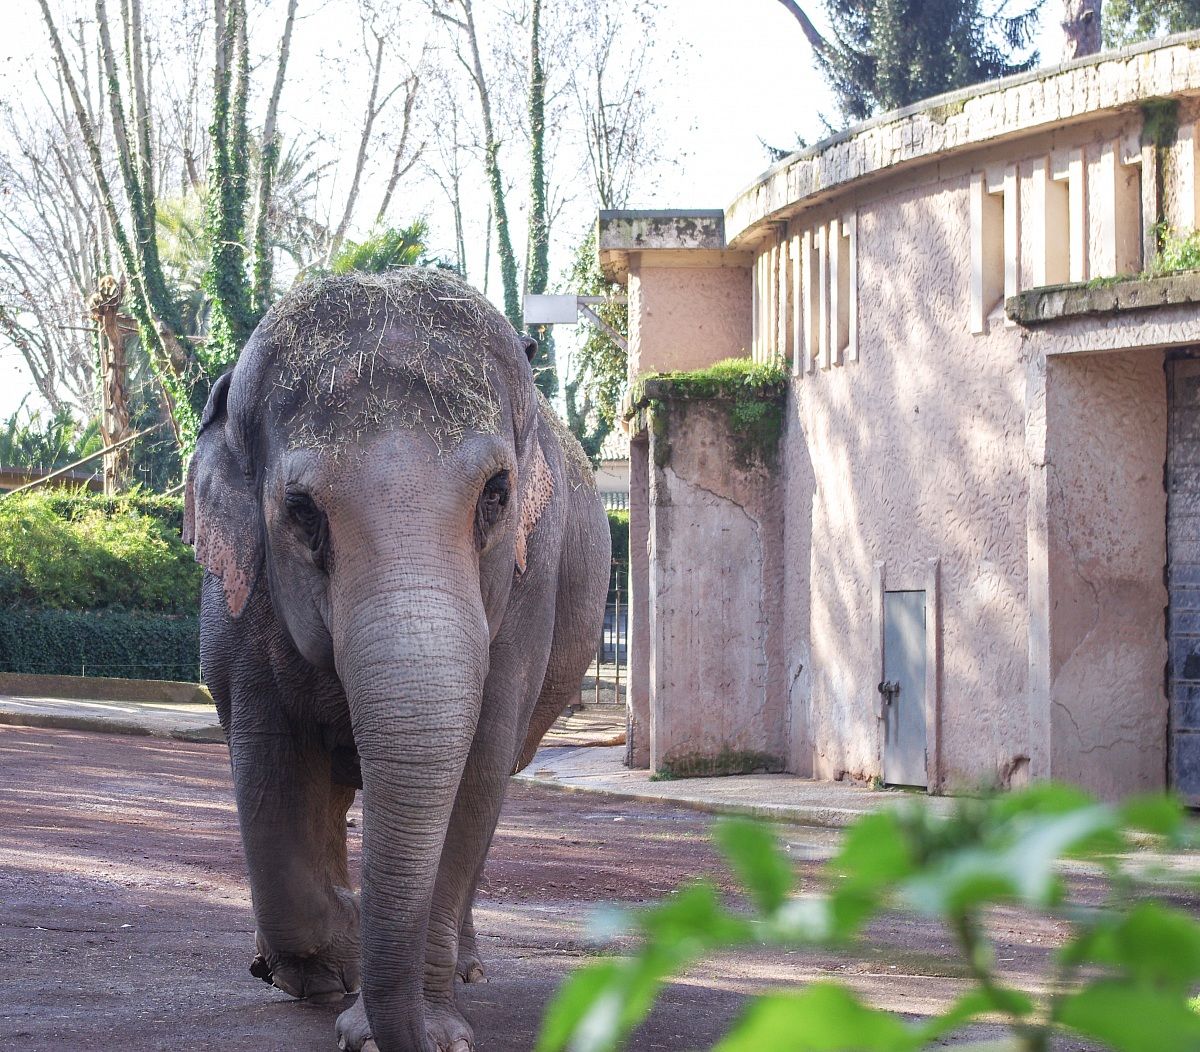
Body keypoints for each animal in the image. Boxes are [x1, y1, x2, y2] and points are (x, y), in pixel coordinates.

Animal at [183, 269, 611, 1052]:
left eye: (496, 495)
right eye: (301, 510)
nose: (400, 1033)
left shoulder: (531, 585)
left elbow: (476, 766)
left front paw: (422, 1030)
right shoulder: (237, 601)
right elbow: (268, 764)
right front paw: (334, 964)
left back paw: (465, 966)